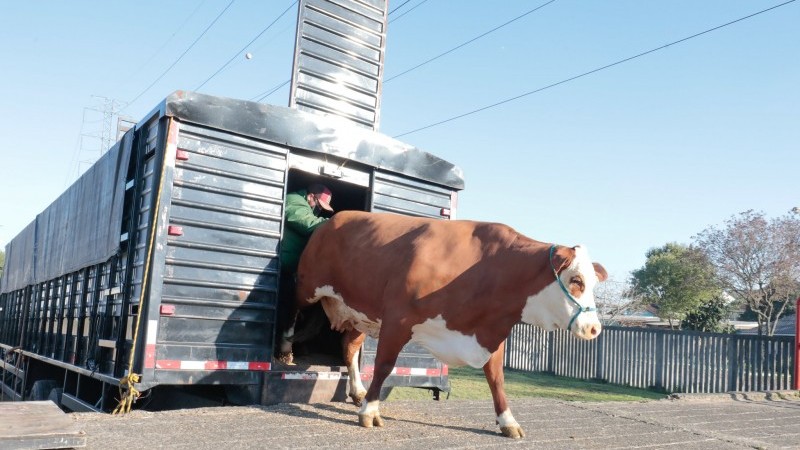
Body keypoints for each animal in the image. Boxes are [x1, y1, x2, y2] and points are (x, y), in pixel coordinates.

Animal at [282, 211, 608, 440]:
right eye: (576, 280)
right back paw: (285, 351)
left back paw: (358, 390)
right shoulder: (397, 319)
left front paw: (508, 421)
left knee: (349, 348)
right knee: (292, 310)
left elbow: (496, 379)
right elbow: (384, 366)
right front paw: (371, 412)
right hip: (307, 286)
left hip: (361, 314)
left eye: (593, 283)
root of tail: (332, 220)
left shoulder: (491, 335)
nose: (595, 329)